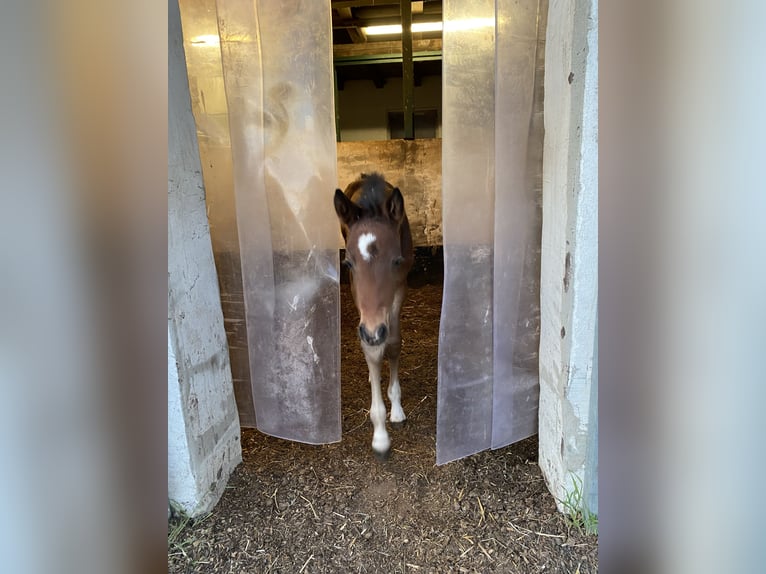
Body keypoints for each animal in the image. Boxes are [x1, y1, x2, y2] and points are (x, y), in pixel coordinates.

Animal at [334, 173, 414, 460]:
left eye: (396, 261)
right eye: (348, 263)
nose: (372, 331)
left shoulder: (400, 285)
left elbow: (393, 343)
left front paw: (397, 409)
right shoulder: (357, 294)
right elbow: (372, 351)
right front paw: (380, 435)